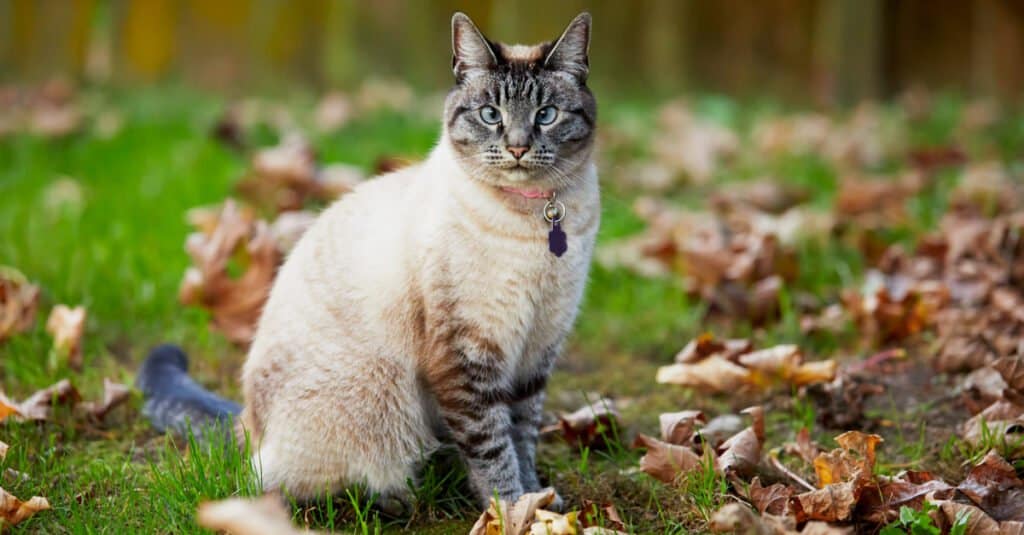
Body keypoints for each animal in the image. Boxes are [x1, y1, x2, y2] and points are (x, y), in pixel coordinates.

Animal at [138, 11, 598, 508]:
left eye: (546, 115)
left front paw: (540, 501)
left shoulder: (537, 350)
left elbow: (522, 437)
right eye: (490, 115)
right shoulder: (468, 357)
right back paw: (399, 496)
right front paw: (513, 509)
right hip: (379, 403)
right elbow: (493, 448)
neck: (539, 216)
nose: (516, 147)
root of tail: (249, 420)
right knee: (275, 481)